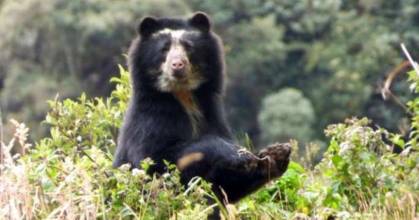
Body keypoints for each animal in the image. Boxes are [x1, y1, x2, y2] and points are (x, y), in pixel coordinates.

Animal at [114, 12, 292, 204]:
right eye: (164, 49)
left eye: (188, 47)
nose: (177, 65)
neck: (183, 94)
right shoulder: (150, 119)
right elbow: (153, 163)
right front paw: (235, 152)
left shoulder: (211, 113)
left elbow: (227, 185)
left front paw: (276, 154)